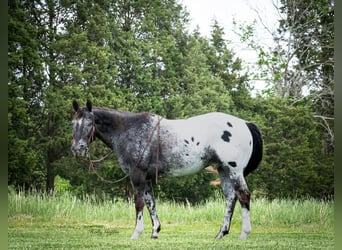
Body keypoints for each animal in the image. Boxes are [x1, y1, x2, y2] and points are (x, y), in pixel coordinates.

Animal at [71, 99, 264, 240]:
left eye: (89, 123)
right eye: (73, 123)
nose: (77, 149)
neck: (128, 130)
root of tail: (245, 123)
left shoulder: (137, 175)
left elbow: (139, 203)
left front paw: (136, 234)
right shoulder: (147, 178)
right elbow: (151, 203)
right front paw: (155, 232)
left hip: (234, 171)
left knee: (244, 195)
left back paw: (244, 234)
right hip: (224, 170)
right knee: (231, 198)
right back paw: (221, 233)